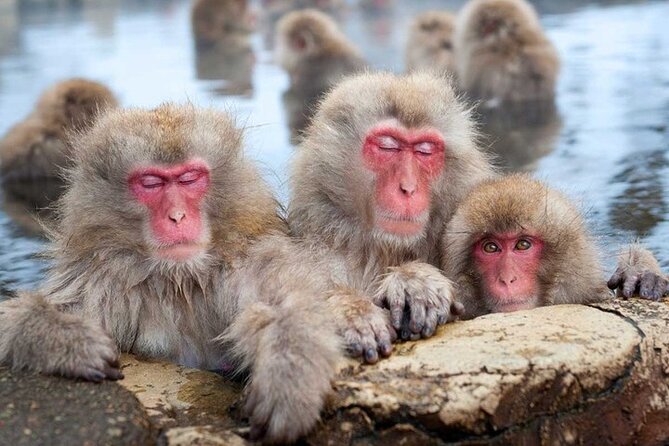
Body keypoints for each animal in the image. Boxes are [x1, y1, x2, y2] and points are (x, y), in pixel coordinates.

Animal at [0, 104, 340, 443]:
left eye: (189, 178)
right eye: (151, 183)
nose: (177, 216)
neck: (179, 280)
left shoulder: (246, 263)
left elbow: (290, 302)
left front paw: (288, 380)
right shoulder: (100, 279)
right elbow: (13, 321)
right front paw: (66, 340)